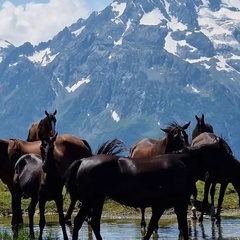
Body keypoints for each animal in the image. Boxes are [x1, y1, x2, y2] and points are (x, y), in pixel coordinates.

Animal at [65, 137, 238, 240]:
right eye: (226, 153)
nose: (236, 166)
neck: (184, 164)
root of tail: (83, 161)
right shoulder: (180, 204)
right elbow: (181, 227)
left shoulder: (159, 206)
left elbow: (151, 228)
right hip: (90, 199)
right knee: (80, 221)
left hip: (98, 200)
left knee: (93, 223)